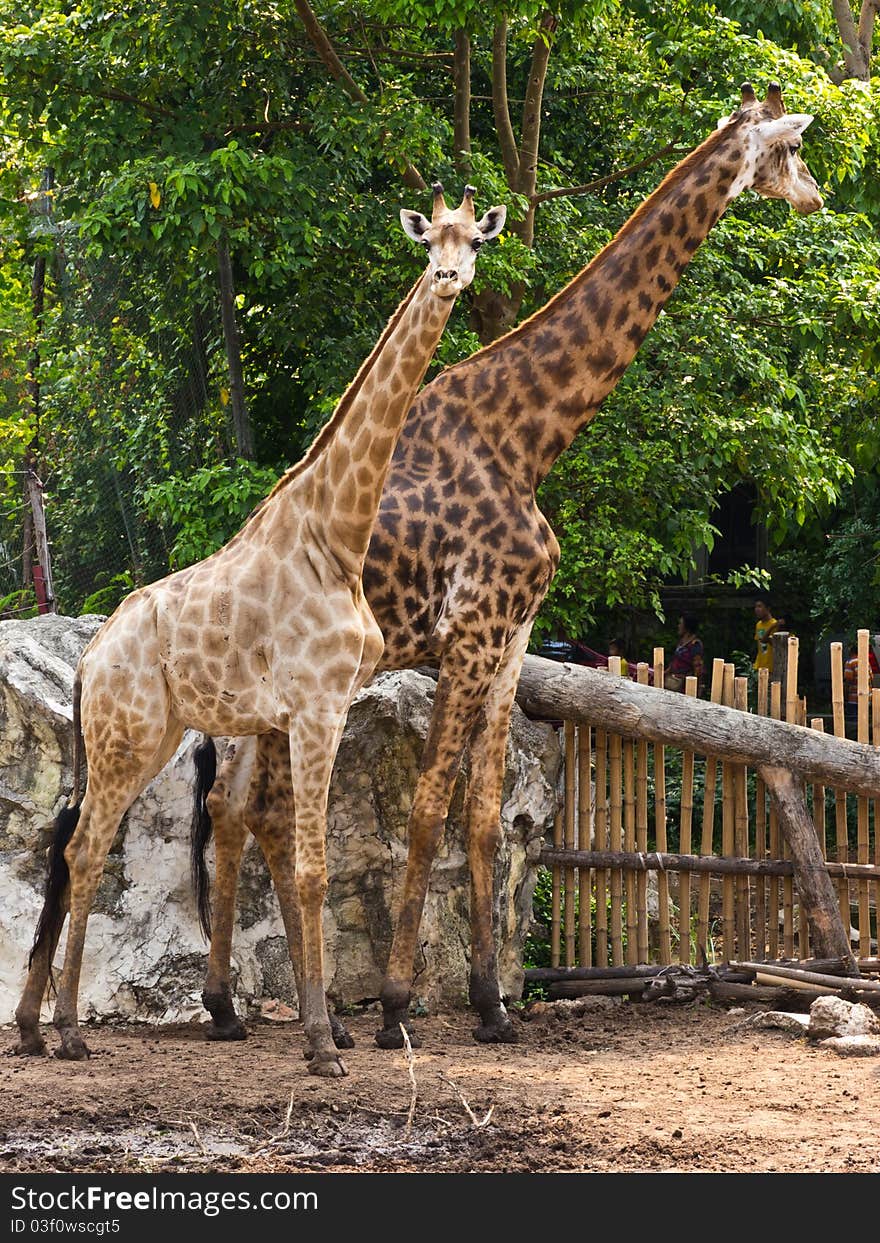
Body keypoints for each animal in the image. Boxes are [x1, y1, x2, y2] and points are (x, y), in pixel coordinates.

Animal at [17, 180, 504, 1073]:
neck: (335, 534)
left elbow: (297, 855)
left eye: (476, 242)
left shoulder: (307, 710)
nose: (450, 279)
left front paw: (322, 1030)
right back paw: (66, 1030)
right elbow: (312, 866)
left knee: (73, 846)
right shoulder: (316, 705)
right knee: (85, 848)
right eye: (430, 243)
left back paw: (38, 1026)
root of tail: (87, 660)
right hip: (127, 736)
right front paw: (320, 1044)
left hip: (145, 735)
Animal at [193, 85, 825, 1049]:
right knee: (240, 806)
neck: (527, 440)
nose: (817, 196)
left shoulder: (512, 640)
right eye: (790, 148)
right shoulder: (470, 632)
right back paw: (271, 1010)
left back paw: (244, 1008)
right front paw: (397, 1007)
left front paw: (491, 1005)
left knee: (241, 808)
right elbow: (427, 811)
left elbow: (487, 817)